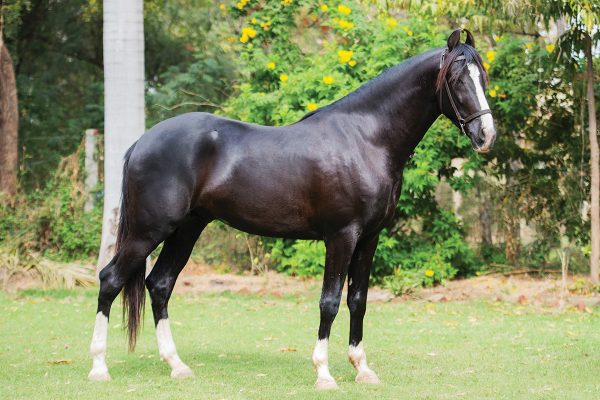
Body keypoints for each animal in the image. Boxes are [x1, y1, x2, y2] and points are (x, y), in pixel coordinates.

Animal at [86, 28, 494, 390]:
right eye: (457, 79)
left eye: (482, 76)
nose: (486, 136)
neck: (367, 139)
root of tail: (141, 142)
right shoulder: (341, 236)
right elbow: (329, 302)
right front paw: (324, 374)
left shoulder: (369, 238)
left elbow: (358, 300)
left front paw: (362, 369)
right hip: (148, 231)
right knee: (110, 280)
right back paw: (99, 368)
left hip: (187, 229)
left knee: (160, 284)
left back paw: (177, 366)